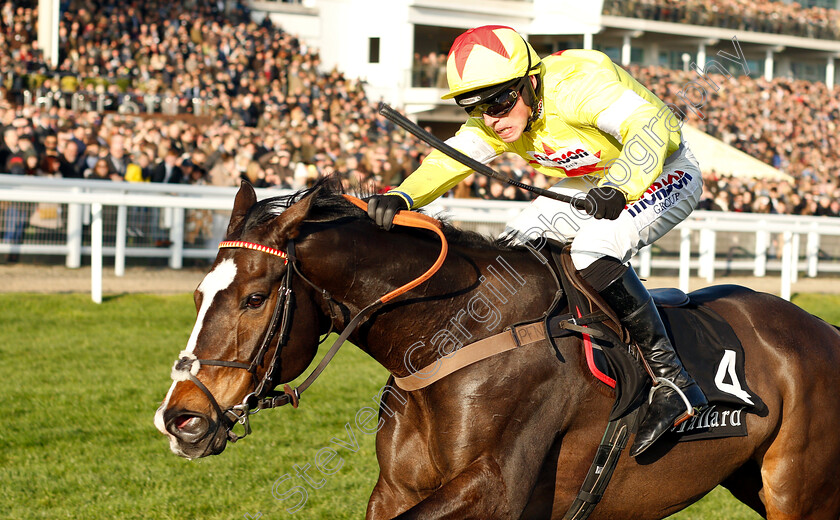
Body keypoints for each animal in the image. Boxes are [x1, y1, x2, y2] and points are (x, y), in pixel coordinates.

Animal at [154, 180, 840, 520]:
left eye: (255, 298)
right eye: (198, 293)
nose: (180, 417)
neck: (460, 334)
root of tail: (822, 330)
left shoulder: (494, 488)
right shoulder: (396, 489)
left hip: (801, 495)